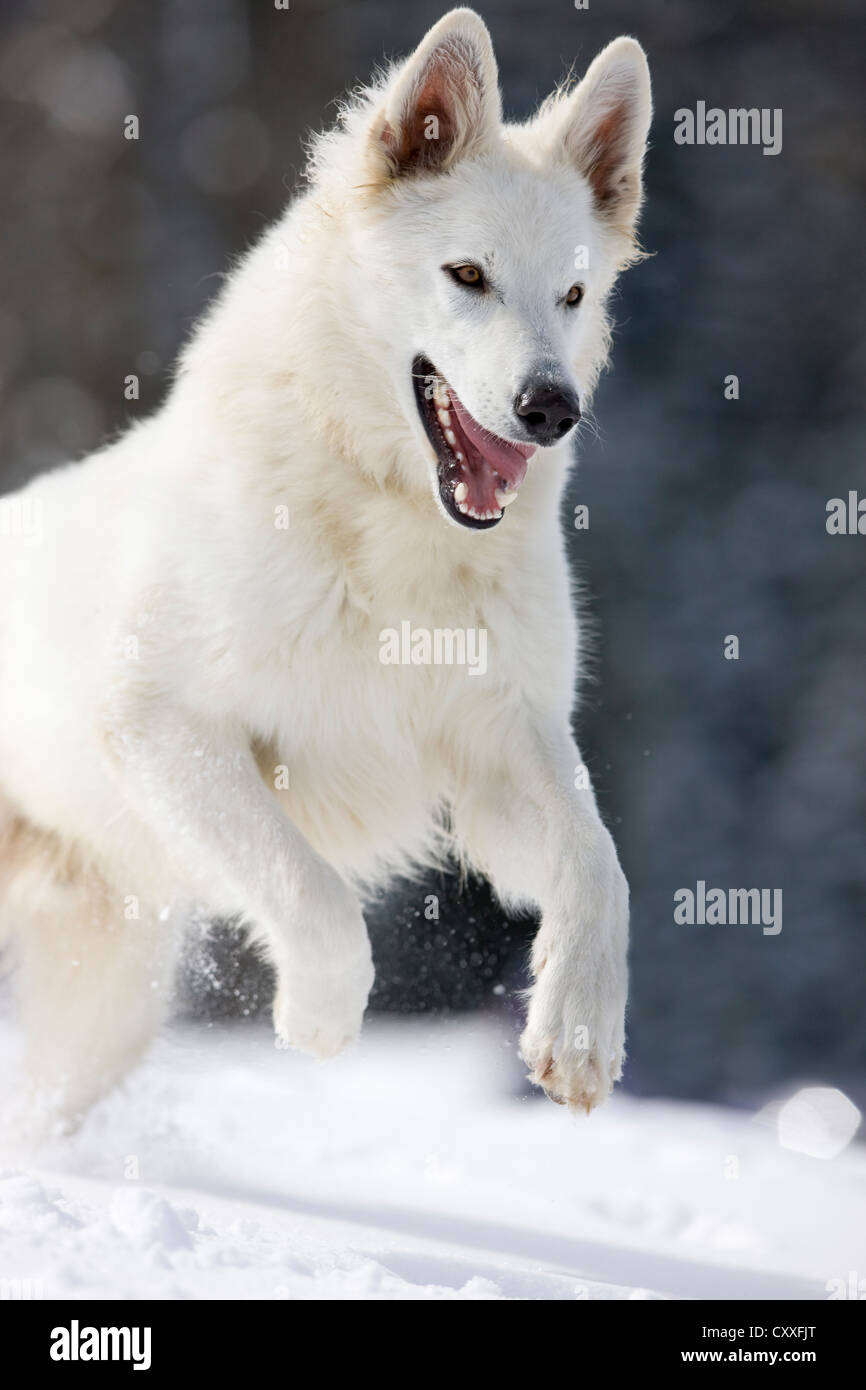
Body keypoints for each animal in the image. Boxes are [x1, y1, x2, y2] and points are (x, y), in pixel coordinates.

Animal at [0, 10, 650, 1123]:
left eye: (572, 294)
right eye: (467, 276)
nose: (550, 408)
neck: (383, 524)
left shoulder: (496, 754)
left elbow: (597, 865)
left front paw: (577, 1029)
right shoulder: (163, 725)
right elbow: (310, 889)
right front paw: (320, 1015)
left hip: (98, 1019)